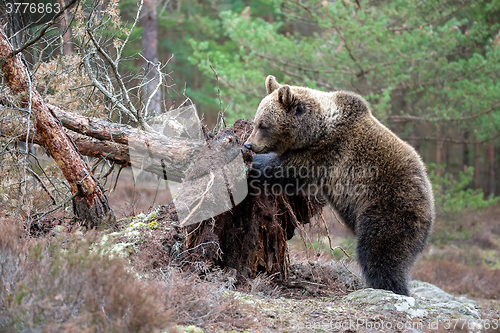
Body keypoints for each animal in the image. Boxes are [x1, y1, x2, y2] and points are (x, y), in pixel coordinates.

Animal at [245, 74, 434, 294]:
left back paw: (388, 287)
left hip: (388, 209)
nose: (249, 144)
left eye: (263, 125)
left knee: (379, 253)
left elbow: (285, 170)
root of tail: (430, 208)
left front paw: (254, 163)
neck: (315, 130)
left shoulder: (326, 152)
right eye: (256, 121)